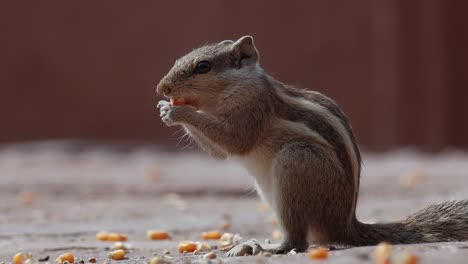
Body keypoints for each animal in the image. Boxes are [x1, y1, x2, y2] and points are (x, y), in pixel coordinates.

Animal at [157, 35, 468, 256]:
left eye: (203, 66)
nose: (162, 88)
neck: (238, 85)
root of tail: (344, 225)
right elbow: (220, 152)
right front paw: (164, 108)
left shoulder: (252, 109)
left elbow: (235, 141)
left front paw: (177, 112)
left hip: (296, 162)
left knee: (298, 241)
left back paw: (261, 247)